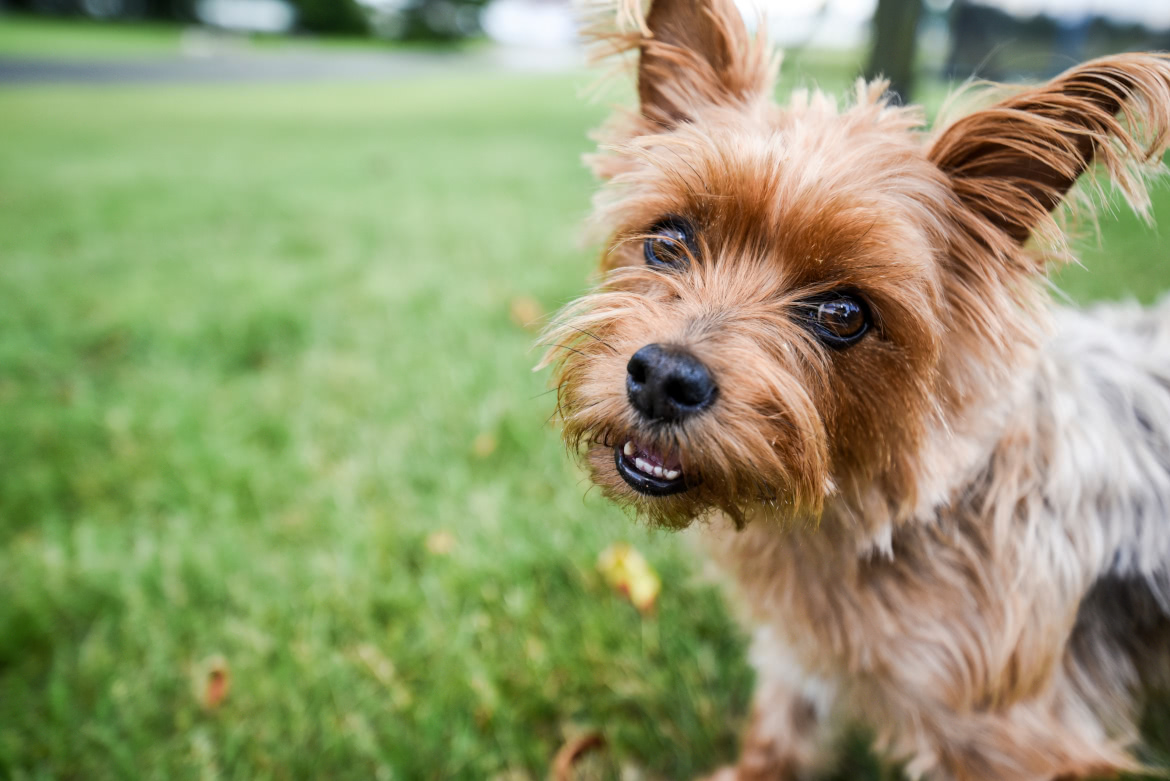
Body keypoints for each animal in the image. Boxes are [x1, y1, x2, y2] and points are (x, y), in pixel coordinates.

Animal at [540, 1, 1170, 781]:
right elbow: (780, 730)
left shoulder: (1017, 731)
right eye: (668, 240)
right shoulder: (800, 658)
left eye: (844, 314)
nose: (663, 376)